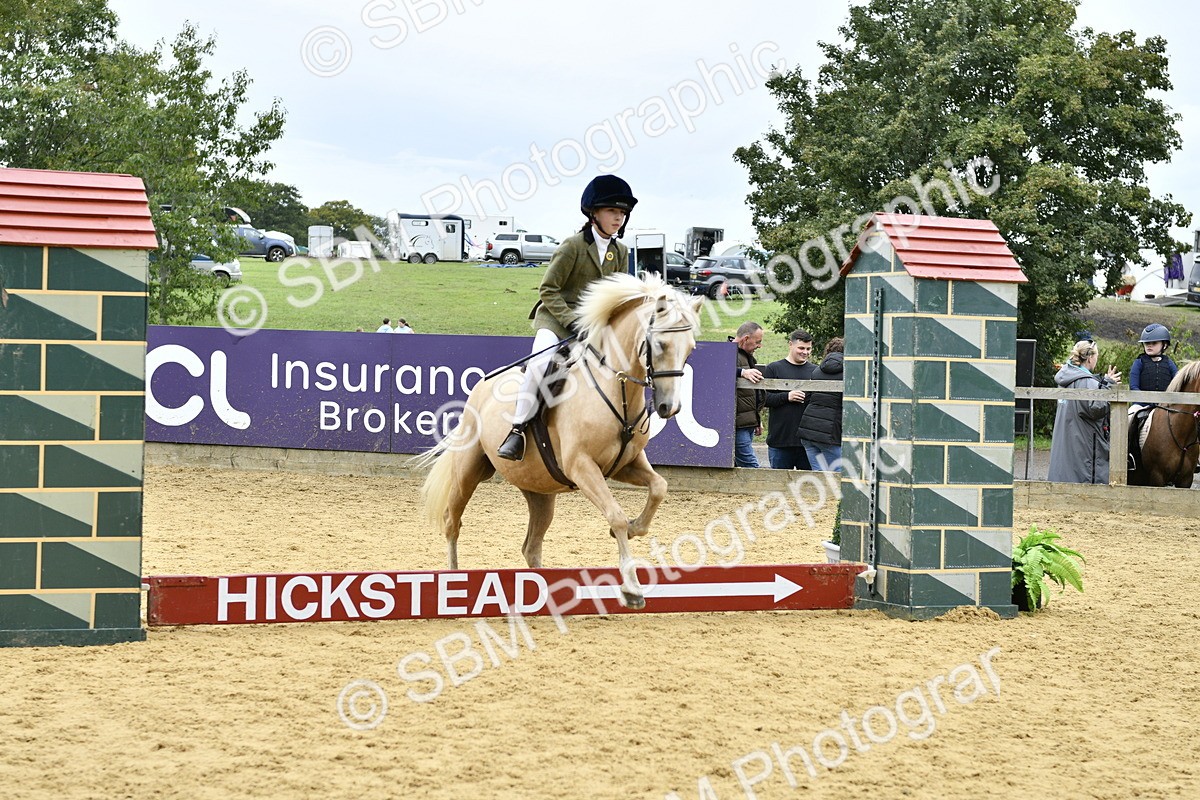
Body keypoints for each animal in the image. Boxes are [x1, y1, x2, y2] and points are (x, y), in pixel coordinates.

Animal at [419, 273, 704, 609]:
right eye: (660, 344)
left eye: (691, 349)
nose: (669, 408)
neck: (616, 389)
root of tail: (482, 384)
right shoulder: (582, 467)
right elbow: (616, 516)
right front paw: (632, 587)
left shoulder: (626, 465)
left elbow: (659, 487)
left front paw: (637, 528)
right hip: (468, 471)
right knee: (453, 522)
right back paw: (454, 581)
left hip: (540, 492)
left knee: (531, 546)